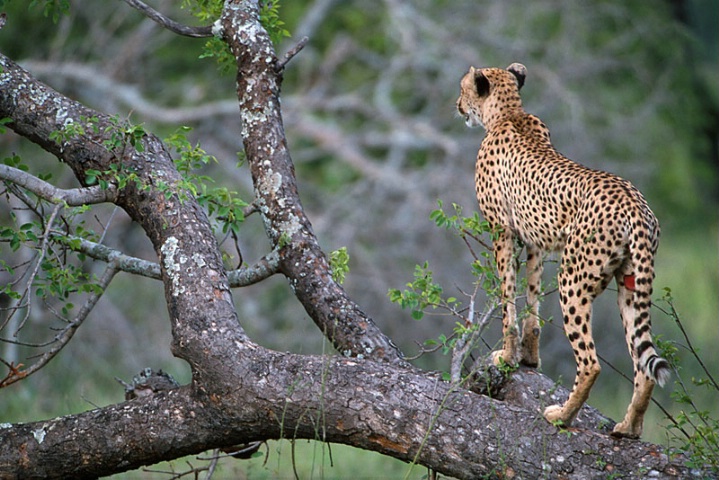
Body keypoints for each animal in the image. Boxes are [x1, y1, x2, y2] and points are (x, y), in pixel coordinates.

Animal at [458, 62, 672, 438]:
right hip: (631, 284)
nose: (457, 105)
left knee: (591, 363)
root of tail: (634, 202)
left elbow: (507, 298)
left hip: (573, 279)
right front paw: (529, 357)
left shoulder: (503, 231)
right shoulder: (535, 242)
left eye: (462, 87)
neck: (508, 113)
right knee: (643, 363)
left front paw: (507, 355)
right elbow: (530, 300)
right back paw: (628, 427)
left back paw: (563, 416)